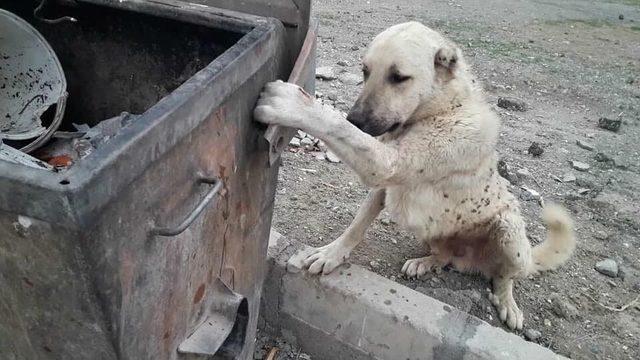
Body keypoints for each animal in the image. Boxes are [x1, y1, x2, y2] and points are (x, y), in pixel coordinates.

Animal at [254, 21, 576, 330]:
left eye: (398, 77)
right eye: (365, 71)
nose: (355, 119)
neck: (441, 109)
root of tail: (470, 260)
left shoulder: (385, 164)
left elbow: (337, 127)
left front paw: (292, 104)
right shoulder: (383, 187)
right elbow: (356, 226)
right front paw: (332, 254)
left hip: (509, 232)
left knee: (505, 276)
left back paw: (507, 302)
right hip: (435, 234)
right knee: (446, 257)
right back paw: (425, 263)